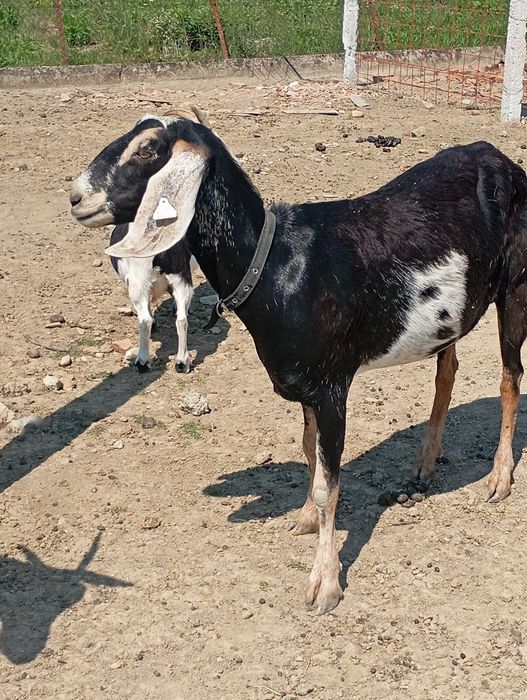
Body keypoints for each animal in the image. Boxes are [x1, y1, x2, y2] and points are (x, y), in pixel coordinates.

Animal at [71, 117, 527, 616]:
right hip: (453, 315)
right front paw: (306, 517)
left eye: (147, 149)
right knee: (447, 372)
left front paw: (325, 584)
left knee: (510, 378)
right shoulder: (304, 383)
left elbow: (330, 483)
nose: (75, 197)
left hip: (515, 287)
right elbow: (310, 452)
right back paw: (425, 463)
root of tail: (498, 156)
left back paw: (499, 478)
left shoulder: (331, 387)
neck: (275, 266)